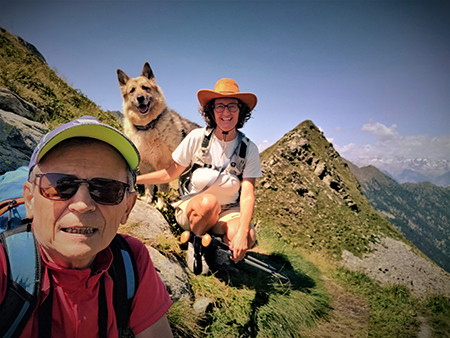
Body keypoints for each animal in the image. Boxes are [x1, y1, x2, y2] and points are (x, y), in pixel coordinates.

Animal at [117, 62, 200, 202]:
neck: (147, 126)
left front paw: (160, 204)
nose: (140, 98)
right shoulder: (145, 165)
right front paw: (148, 199)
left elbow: (162, 189)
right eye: (132, 91)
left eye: (145, 88)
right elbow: (148, 185)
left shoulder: (163, 166)